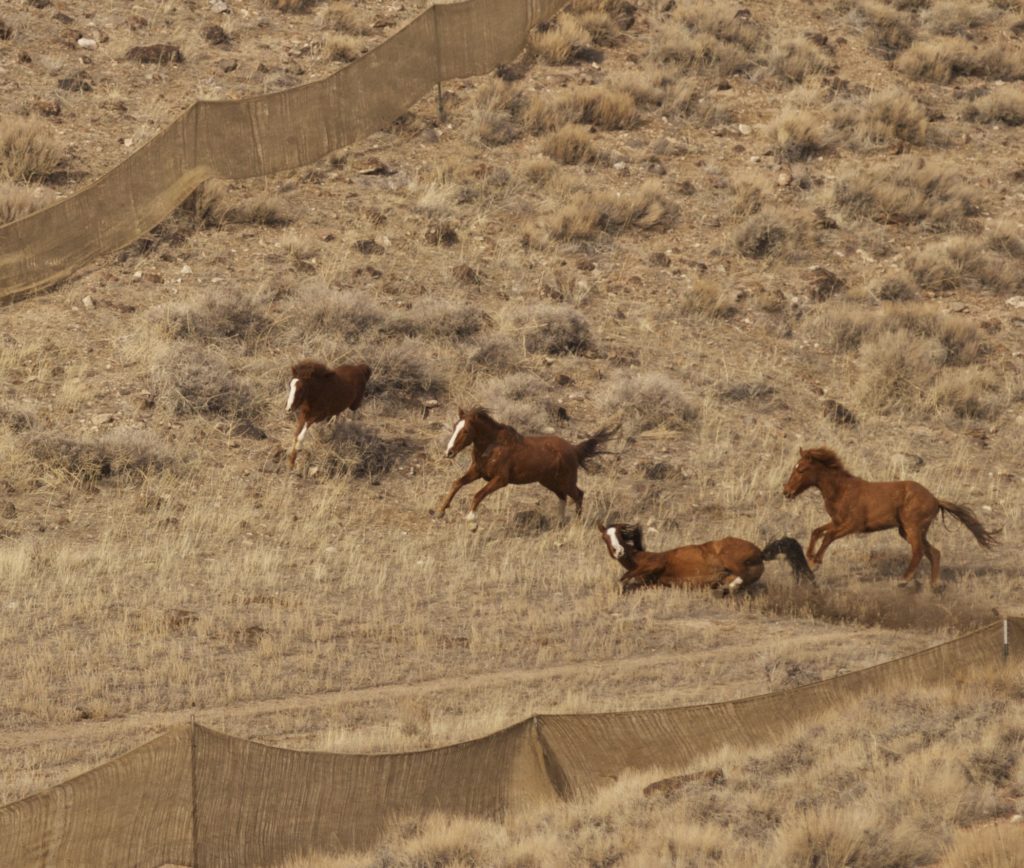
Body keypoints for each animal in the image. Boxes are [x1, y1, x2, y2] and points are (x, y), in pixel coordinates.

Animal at [432, 407, 614, 528]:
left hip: (565, 481)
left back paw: (577, 523)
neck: (493, 446)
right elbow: (457, 484)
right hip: (549, 482)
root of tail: (574, 449)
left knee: (578, 494)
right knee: (563, 496)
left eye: (466, 431)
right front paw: (440, 511)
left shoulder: (500, 480)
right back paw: (560, 522)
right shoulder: (477, 472)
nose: (449, 452)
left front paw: (472, 522)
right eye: (455, 426)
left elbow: (478, 494)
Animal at [598, 517, 811, 593]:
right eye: (605, 538)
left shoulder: (655, 564)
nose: (619, 551)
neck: (640, 557)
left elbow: (623, 578)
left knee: (741, 575)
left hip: (730, 559)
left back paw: (725, 587)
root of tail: (760, 552)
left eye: (620, 534)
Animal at [782, 448, 999, 589]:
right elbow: (816, 531)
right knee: (934, 552)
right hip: (908, 530)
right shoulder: (837, 522)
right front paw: (810, 559)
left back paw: (904, 579)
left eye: (801, 469)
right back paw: (933, 585)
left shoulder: (852, 525)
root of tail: (936, 500)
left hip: (911, 528)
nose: (786, 492)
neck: (841, 490)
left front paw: (815, 562)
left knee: (919, 551)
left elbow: (827, 537)